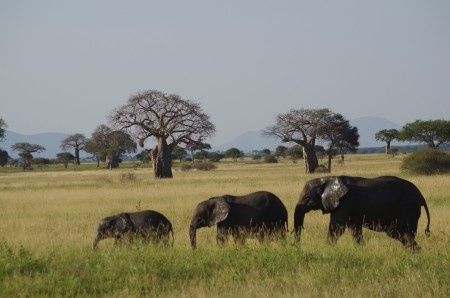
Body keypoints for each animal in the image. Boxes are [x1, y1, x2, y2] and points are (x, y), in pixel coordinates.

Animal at [294, 175, 430, 249]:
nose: (296, 247)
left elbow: (337, 228)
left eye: (307, 197)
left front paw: (327, 249)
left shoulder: (345, 202)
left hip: (408, 207)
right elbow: (354, 229)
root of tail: (420, 195)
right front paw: (361, 249)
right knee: (399, 233)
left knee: (405, 232)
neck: (329, 179)